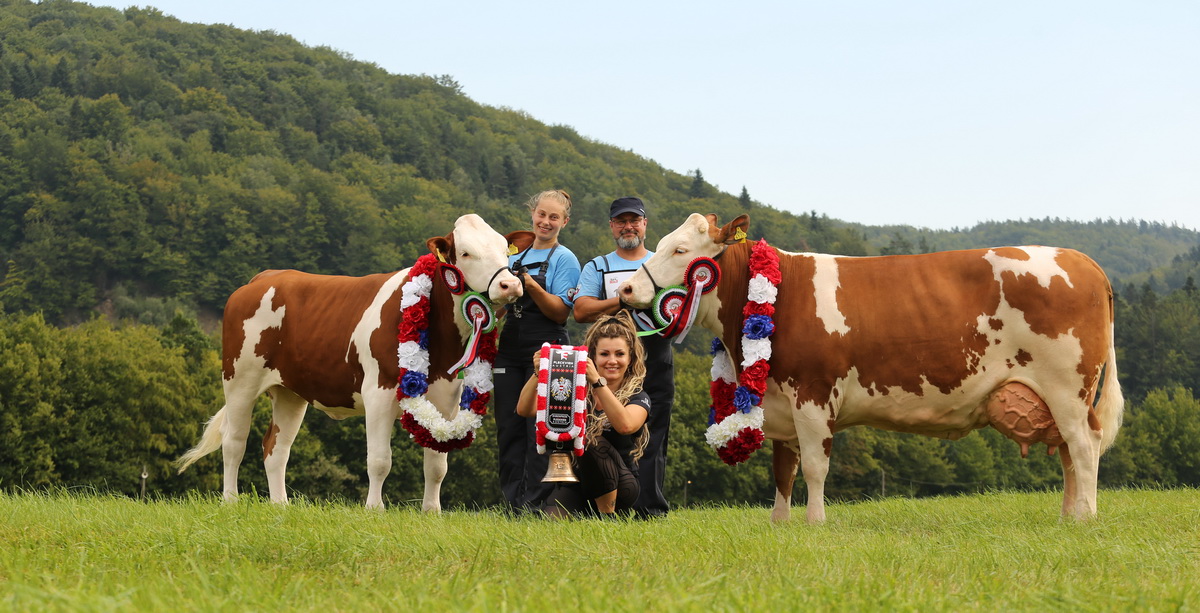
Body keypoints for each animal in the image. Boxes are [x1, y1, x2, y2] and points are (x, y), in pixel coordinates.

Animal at [175, 213, 532, 511]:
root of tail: (265, 277)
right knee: (234, 441)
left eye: (505, 250)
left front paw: (432, 512)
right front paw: (374, 509)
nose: (510, 284)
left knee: (275, 448)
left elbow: (437, 465)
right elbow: (379, 460)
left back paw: (281, 505)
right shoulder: (379, 391)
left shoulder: (447, 397)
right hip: (239, 378)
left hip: (290, 392)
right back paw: (230, 501)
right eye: (467, 253)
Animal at [619, 214, 1123, 523]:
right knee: (1068, 452)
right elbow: (783, 469)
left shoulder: (813, 392)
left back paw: (1086, 517)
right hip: (1056, 396)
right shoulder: (781, 399)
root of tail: (1082, 260)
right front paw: (779, 523)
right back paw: (1067, 516)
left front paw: (815, 523)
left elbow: (815, 466)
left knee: (1084, 446)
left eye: (681, 250)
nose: (624, 289)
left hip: (1068, 387)